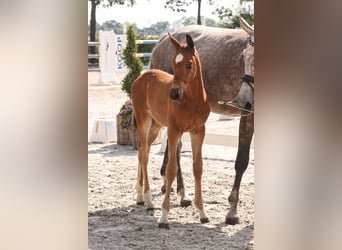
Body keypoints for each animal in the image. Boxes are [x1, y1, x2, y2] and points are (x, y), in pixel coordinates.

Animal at [132, 33, 210, 229]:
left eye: (189, 64)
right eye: (174, 63)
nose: (174, 94)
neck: (192, 100)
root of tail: (142, 76)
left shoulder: (198, 131)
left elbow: (198, 167)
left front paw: (202, 213)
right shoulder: (174, 130)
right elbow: (171, 169)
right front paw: (164, 217)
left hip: (155, 126)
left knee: (142, 151)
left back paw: (139, 195)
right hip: (144, 122)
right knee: (143, 155)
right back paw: (149, 200)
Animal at [150, 18, 254, 225]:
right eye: (244, 56)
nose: (243, 101)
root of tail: (162, 40)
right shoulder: (249, 115)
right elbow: (242, 160)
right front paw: (232, 211)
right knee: (177, 149)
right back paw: (182, 193)